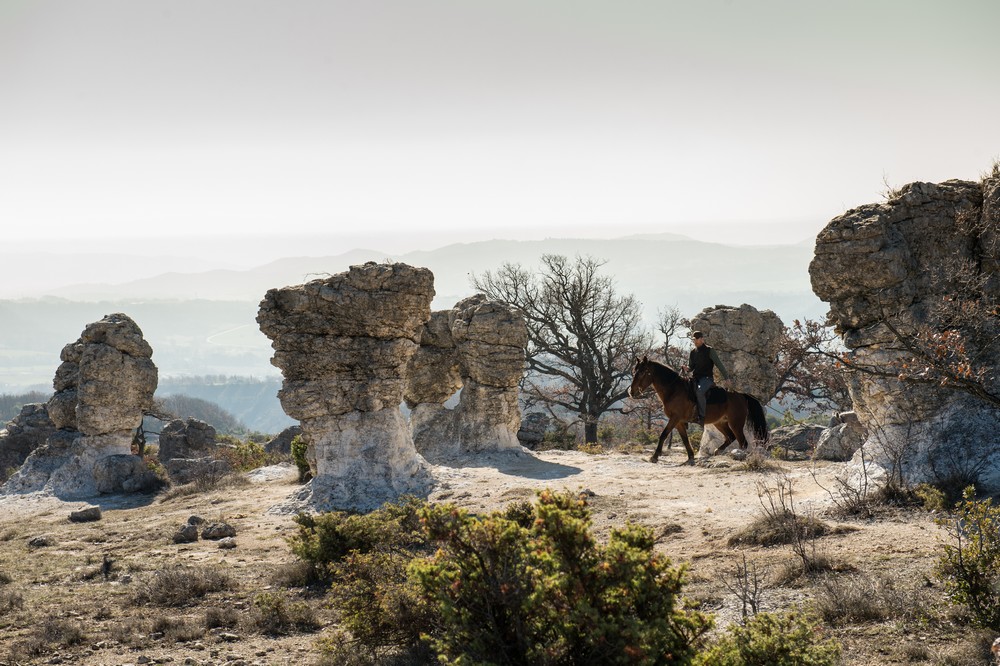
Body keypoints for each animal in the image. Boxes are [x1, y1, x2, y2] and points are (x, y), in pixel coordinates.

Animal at [628, 352, 768, 466]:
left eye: (642, 372)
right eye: (634, 371)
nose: (631, 392)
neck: (673, 390)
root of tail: (742, 395)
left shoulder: (675, 418)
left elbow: (663, 434)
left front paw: (655, 456)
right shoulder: (678, 422)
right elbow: (685, 439)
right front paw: (690, 457)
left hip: (736, 424)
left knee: (742, 442)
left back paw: (739, 456)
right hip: (720, 423)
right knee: (730, 437)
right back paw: (718, 451)